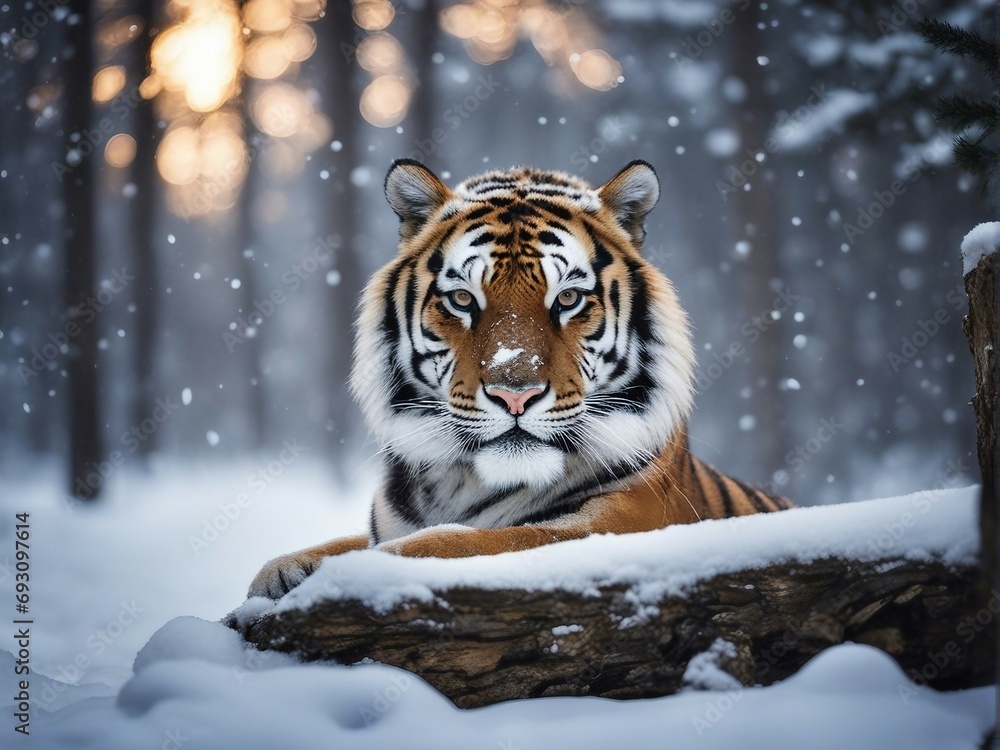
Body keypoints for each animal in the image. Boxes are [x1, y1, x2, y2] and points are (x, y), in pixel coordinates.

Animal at [248, 158, 792, 600]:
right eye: (462, 299)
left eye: (568, 298)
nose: (516, 395)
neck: (460, 483)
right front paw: (279, 572)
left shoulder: (616, 520)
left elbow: (461, 541)